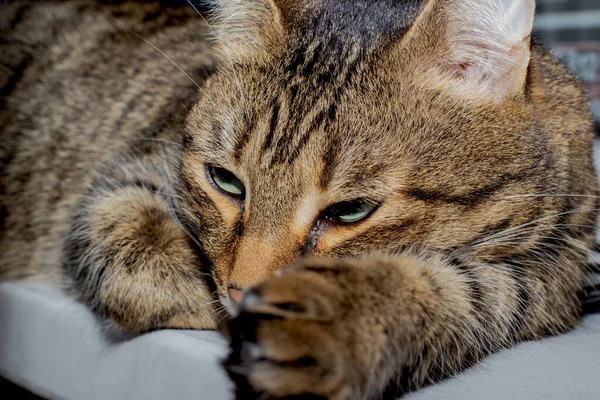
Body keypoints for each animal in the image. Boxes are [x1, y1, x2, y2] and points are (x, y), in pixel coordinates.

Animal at [1, 0, 600, 398]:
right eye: (226, 181)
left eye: (351, 211)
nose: (241, 289)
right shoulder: (123, 184)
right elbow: (141, 264)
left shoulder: (557, 271)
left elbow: (470, 291)